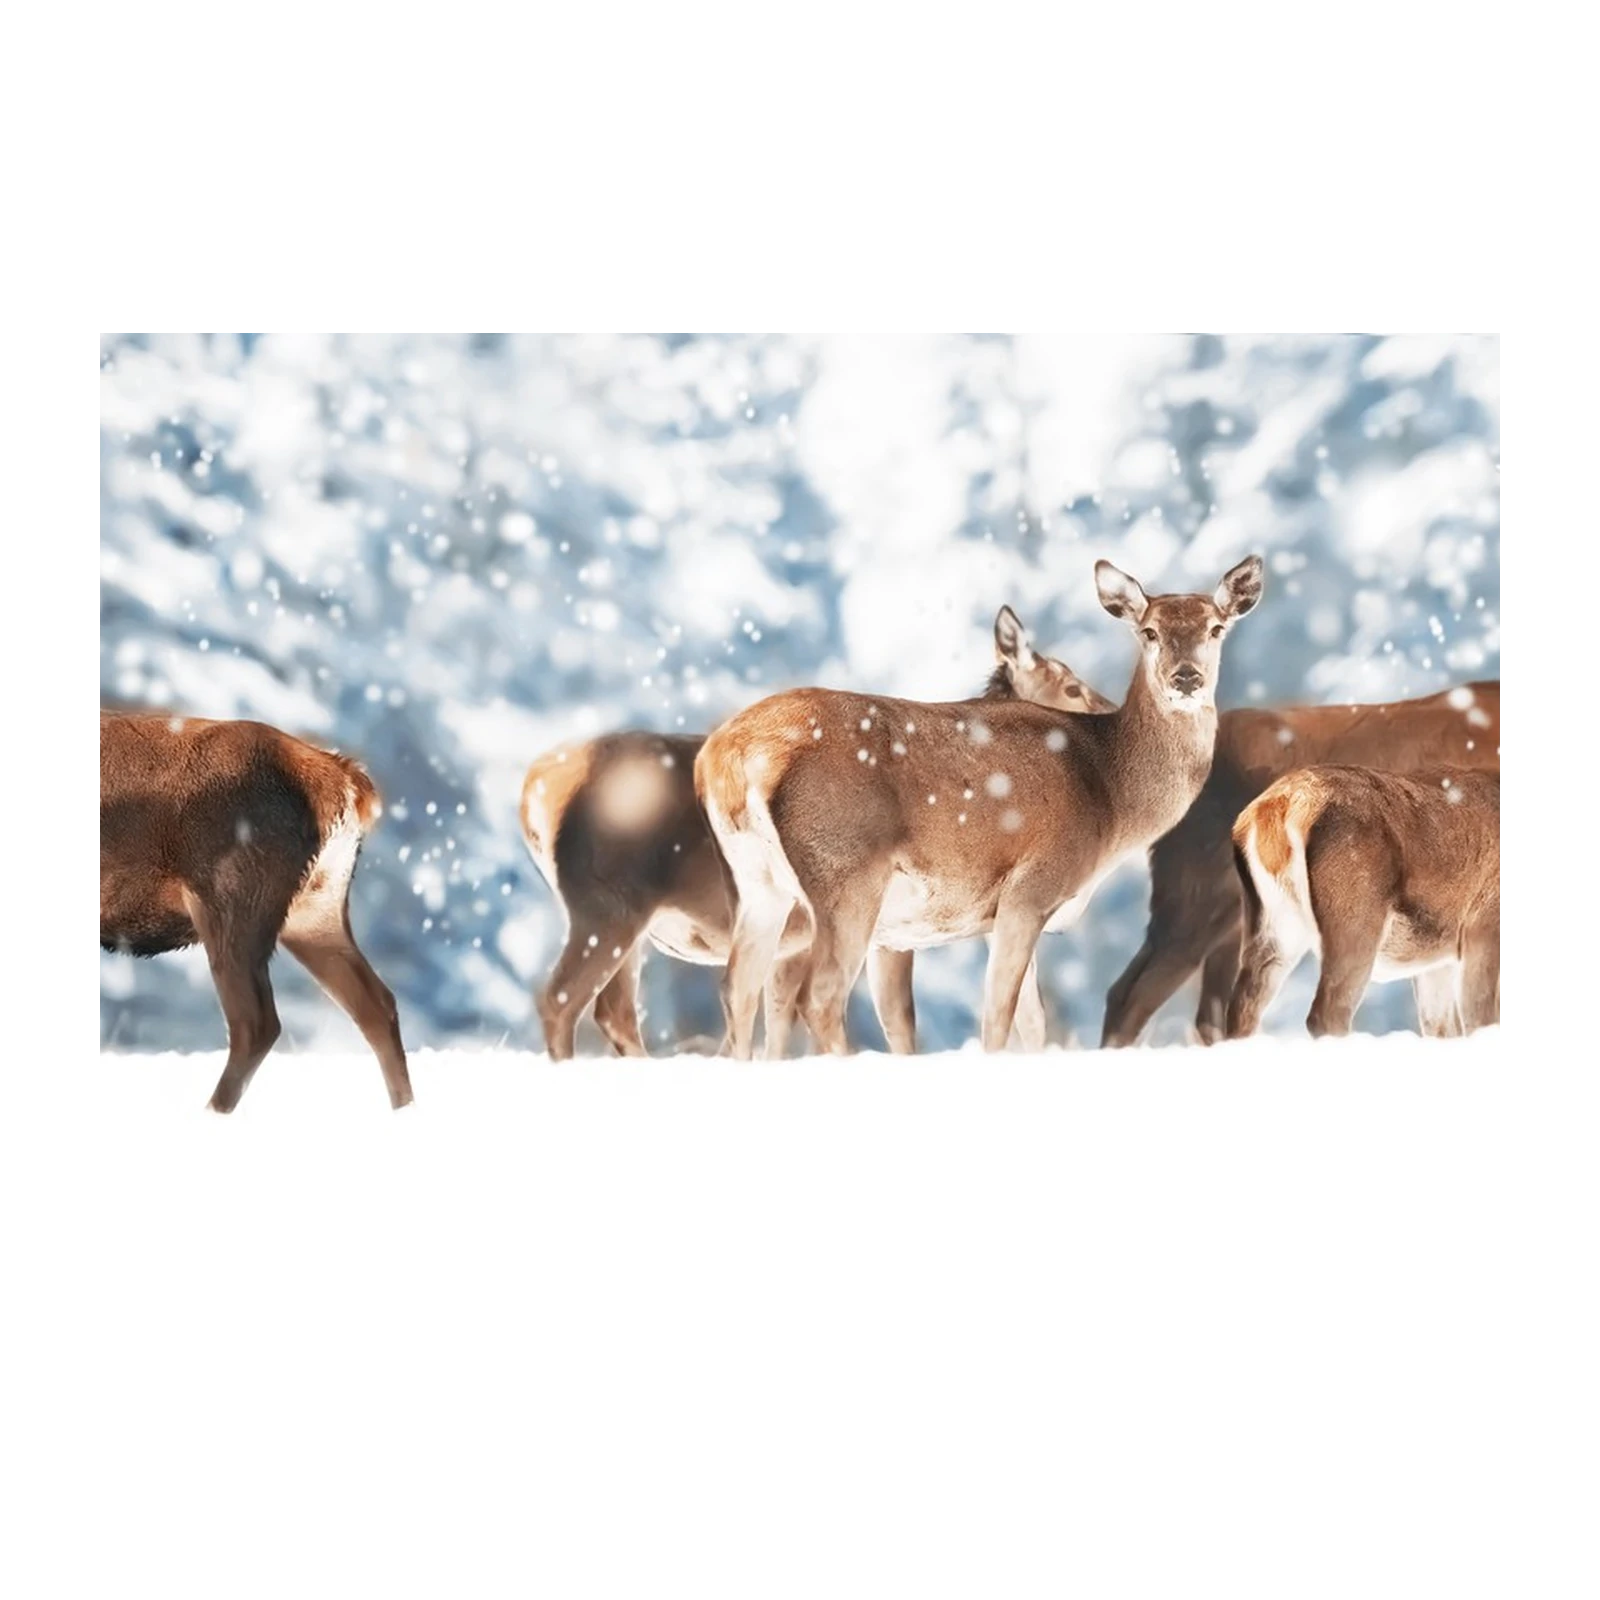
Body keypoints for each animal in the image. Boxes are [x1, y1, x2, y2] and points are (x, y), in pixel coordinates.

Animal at [521, 607, 1118, 1060]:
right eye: (1071, 685)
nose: (1111, 711)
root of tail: (533, 790)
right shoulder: (888, 929)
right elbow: (901, 1023)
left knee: (613, 1008)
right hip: (609, 904)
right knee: (566, 999)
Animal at [695, 556, 1264, 1059]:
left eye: (1216, 628)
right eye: (1148, 632)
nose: (1186, 677)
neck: (1110, 800)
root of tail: (728, 755)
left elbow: (1030, 1023)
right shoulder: (1031, 887)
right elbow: (997, 1016)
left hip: (761, 885)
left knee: (737, 988)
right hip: (845, 874)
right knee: (819, 994)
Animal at [1225, 766, 1501, 1039]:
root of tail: (1279, 807)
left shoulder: (1436, 960)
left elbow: (1440, 1027)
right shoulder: (1482, 925)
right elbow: (1479, 1019)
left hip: (1274, 925)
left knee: (1243, 1005)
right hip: (1354, 917)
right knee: (1327, 1012)